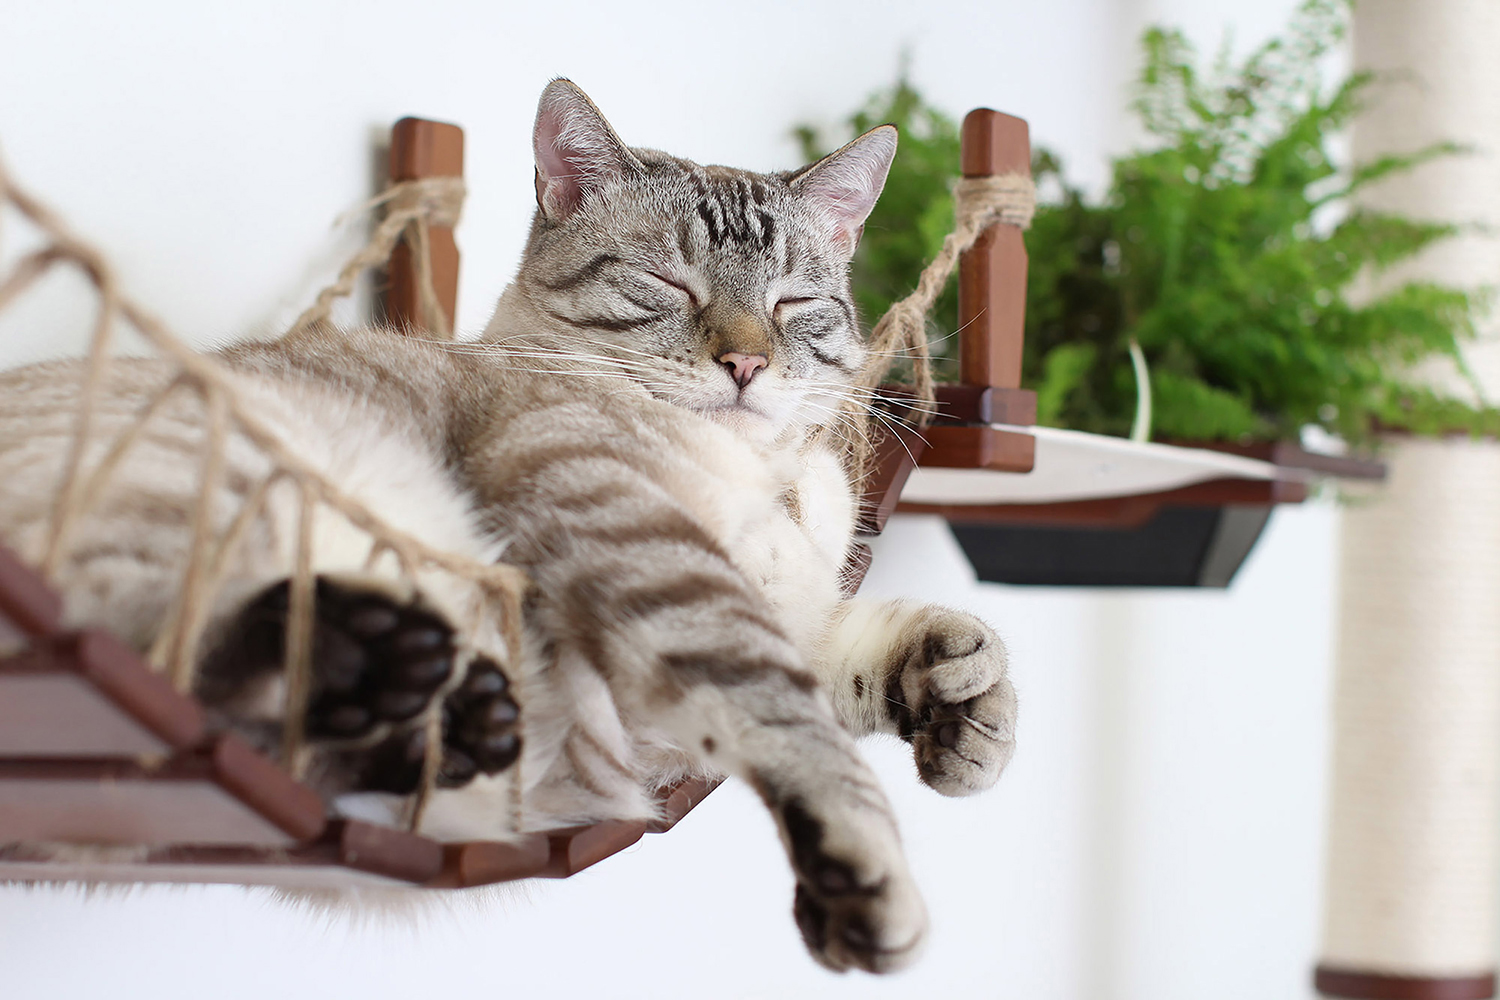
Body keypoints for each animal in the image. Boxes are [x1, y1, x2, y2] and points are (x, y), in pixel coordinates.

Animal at [0, 82, 1020, 971]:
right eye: (667, 285)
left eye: (792, 305)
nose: (745, 364)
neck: (764, 480)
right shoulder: (641, 542)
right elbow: (796, 723)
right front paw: (871, 886)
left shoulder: (785, 607)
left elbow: (878, 654)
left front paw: (968, 712)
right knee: (180, 655)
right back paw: (382, 677)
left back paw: (441, 719)